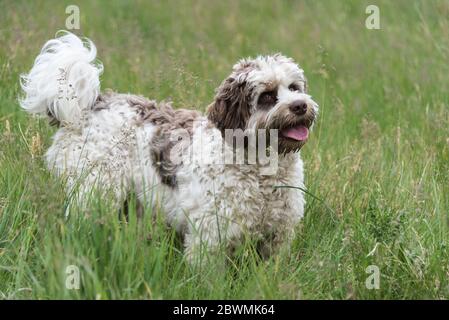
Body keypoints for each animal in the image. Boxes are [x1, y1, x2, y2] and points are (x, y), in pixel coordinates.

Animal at [19, 31, 316, 264]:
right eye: (267, 96)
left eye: (294, 87)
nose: (301, 105)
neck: (260, 170)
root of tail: (90, 105)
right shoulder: (210, 236)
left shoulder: (277, 236)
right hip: (95, 192)